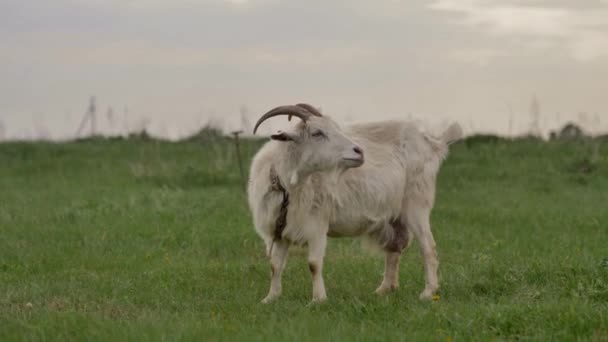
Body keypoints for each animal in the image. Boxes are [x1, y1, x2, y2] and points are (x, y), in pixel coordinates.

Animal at [247, 103, 460, 304]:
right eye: (317, 133)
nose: (359, 151)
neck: (285, 186)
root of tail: (432, 143)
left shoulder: (316, 225)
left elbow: (314, 264)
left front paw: (318, 300)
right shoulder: (279, 231)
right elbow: (275, 265)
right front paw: (270, 298)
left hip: (416, 203)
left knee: (428, 247)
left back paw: (428, 292)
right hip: (394, 213)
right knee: (394, 248)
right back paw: (384, 289)